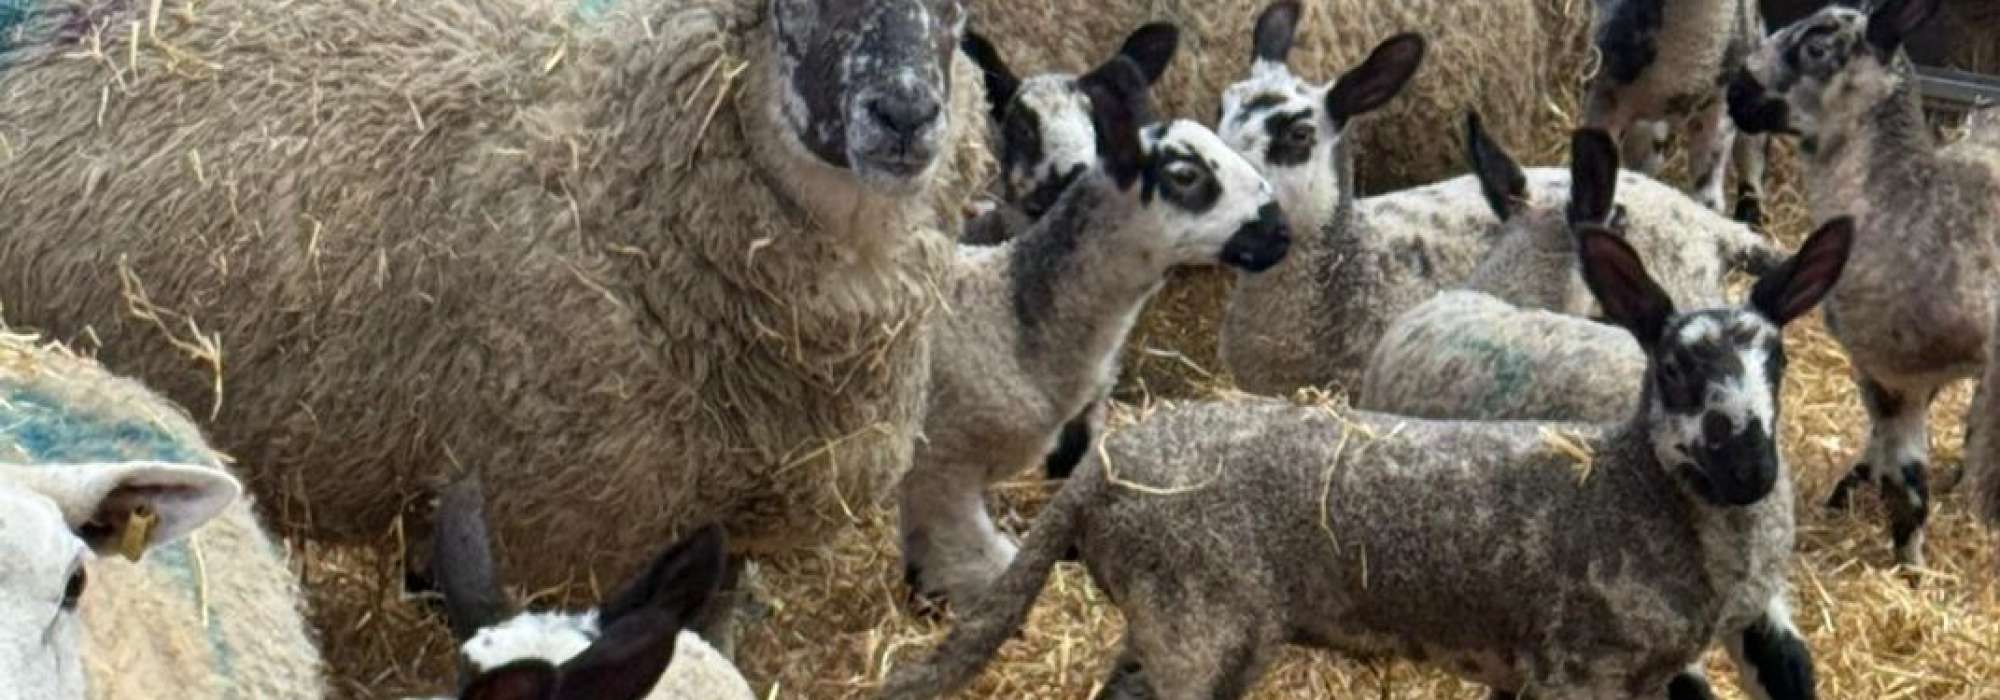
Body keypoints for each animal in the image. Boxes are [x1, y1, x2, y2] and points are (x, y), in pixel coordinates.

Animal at [881, 217, 1855, 700]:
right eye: (1677, 367)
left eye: (1779, 362)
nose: (1752, 470)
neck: (1628, 489)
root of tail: (1099, 476)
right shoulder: (1579, 669)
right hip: (1195, 613)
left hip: (1177, 622)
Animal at [1727, 0, 2000, 568]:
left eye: (1816, 46)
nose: (1735, 93)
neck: (1911, 201)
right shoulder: (1892, 370)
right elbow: (1899, 467)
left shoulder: (1904, 372)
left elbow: (1911, 477)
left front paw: (1911, 567)